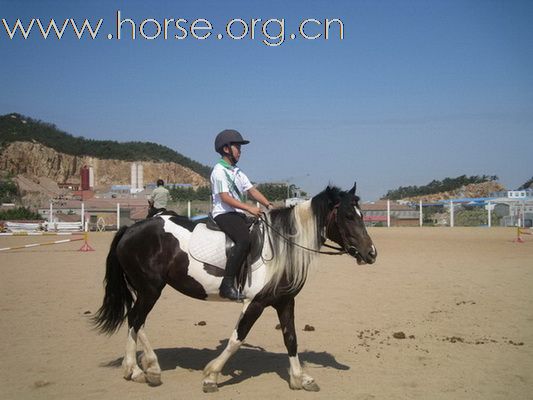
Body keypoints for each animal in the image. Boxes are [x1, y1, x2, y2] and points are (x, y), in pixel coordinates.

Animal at [92, 183, 374, 392]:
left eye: (362, 215)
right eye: (349, 216)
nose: (371, 253)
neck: (282, 245)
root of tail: (130, 229)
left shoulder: (284, 301)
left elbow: (291, 338)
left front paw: (301, 378)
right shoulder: (255, 303)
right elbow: (237, 338)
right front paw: (211, 376)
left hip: (145, 290)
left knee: (135, 321)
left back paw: (139, 369)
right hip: (150, 289)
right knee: (135, 320)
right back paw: (145, 368)